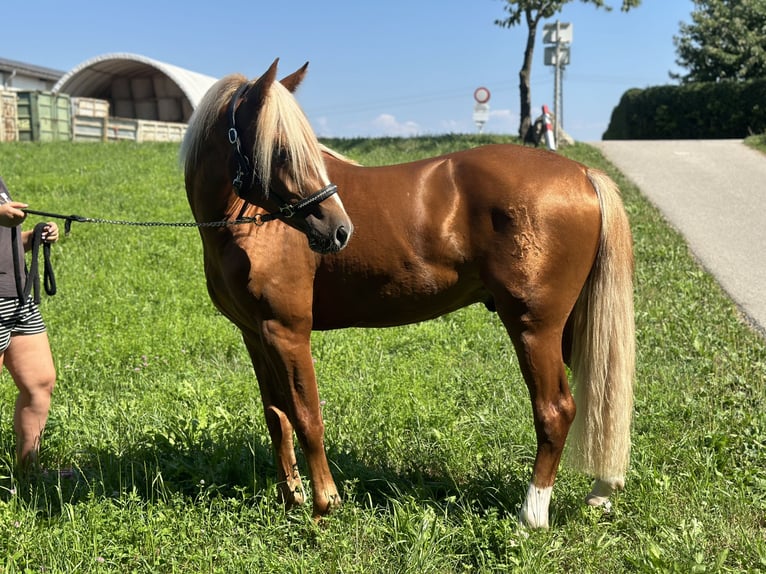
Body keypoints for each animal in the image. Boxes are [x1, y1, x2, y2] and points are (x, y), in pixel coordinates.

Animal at [180, 59, 636, 532]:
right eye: (283, 150)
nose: (339, 230)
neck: (247, 225)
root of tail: (582, 174)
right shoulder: (255, 335)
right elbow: (278, 417)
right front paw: (292, 501)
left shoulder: (287, 331)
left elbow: (307, 416)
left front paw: (325, 504)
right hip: (569, 326)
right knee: (600, 399)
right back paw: (602, 489)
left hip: (535, 327)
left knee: (556, 409)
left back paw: (532, 514)